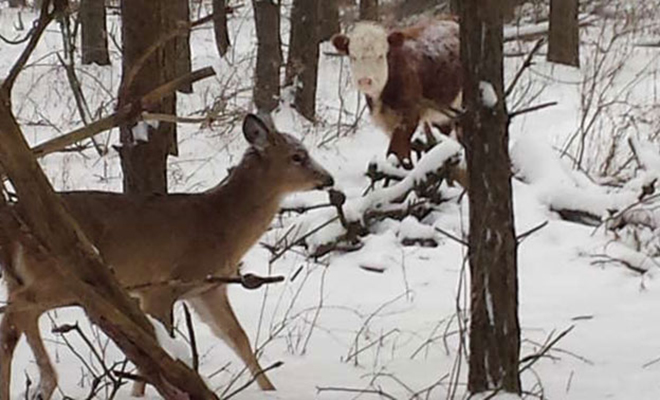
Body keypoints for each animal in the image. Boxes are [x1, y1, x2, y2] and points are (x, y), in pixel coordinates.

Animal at [0, 113, 332, 400]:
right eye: (298, 156)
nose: (328, 179)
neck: (221, 225)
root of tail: (12, 226)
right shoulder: (162, 285)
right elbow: (158, 347)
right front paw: (140, 393)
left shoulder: (208, 289)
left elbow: (238, 338)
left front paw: (270, 390)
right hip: (61, 275)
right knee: (18, 310)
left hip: (28, 278)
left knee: (18, 320)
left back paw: (43, 385)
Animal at [330, 17, 464, 170]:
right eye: (353, 57)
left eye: (380, 56)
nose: (364, 81)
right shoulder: (388, 122)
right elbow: (403, 152)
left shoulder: (410, 113)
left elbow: (395, 150)